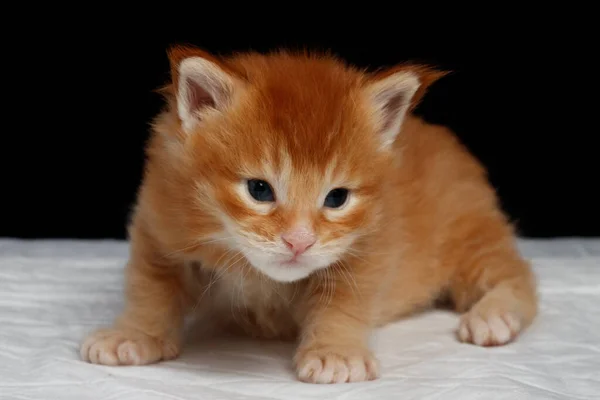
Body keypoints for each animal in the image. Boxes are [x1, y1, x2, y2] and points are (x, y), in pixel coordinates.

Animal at [81, 44, 540, 384]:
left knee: (518, 276)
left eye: (336, 198)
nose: (299, 241)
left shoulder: (369, 250)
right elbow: (149, 289)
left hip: (470, 236)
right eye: (259, 190)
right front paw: (133, 335)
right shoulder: (158, 229)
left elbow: (344, 304)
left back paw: (493, 317)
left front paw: (335, 353)